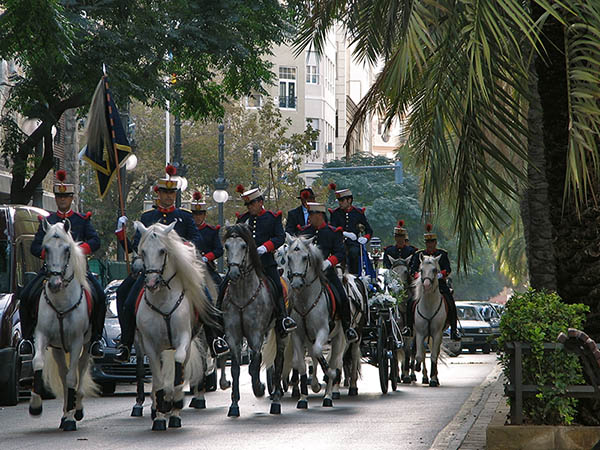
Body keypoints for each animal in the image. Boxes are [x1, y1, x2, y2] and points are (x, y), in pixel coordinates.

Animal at [29, 220, 98, 430]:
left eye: (67, 249)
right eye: (46, 248)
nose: (54, 283)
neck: (61, 301)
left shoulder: (76, 342)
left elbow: (72, 377)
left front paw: (70, 416)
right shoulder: (42, 335)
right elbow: (38, 362)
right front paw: (35, 405)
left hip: (87, 345)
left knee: (80, 369)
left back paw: (77, 408)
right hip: (58, 348)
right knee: (62, 371)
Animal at [135, 221, 219, 428]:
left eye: (163, 251)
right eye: (142, 251)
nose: (151, 282)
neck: (162, 299)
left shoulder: (183, 340)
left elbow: (179, 366)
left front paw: (174, 404)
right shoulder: (150, 345)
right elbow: (157, 377)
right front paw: (159, 411)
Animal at [286, 236, 346, 408]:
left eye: (305, 258)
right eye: (289, 257)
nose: (296, 284)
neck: (306, 301)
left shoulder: (323, 331)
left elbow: (320, 352)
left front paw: (330, 375)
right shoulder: (297, 335)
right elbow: (301, 363)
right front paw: (303, 398)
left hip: (338, 337)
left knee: (333, 359)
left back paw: (328, 396)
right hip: (309, 337)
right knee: (313, 356)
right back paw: (315, 385)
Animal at [414, 255, 448, 384]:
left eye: (434, 270)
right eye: (421, 270)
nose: (427, 285)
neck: (429, 305)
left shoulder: (437, 333)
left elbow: (434, 355)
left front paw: (433, 378)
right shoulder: (419, 333)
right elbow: (420, 355)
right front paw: (417, 367)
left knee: (436, 353)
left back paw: (435, 377)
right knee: (423, 353)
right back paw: (424, 377)